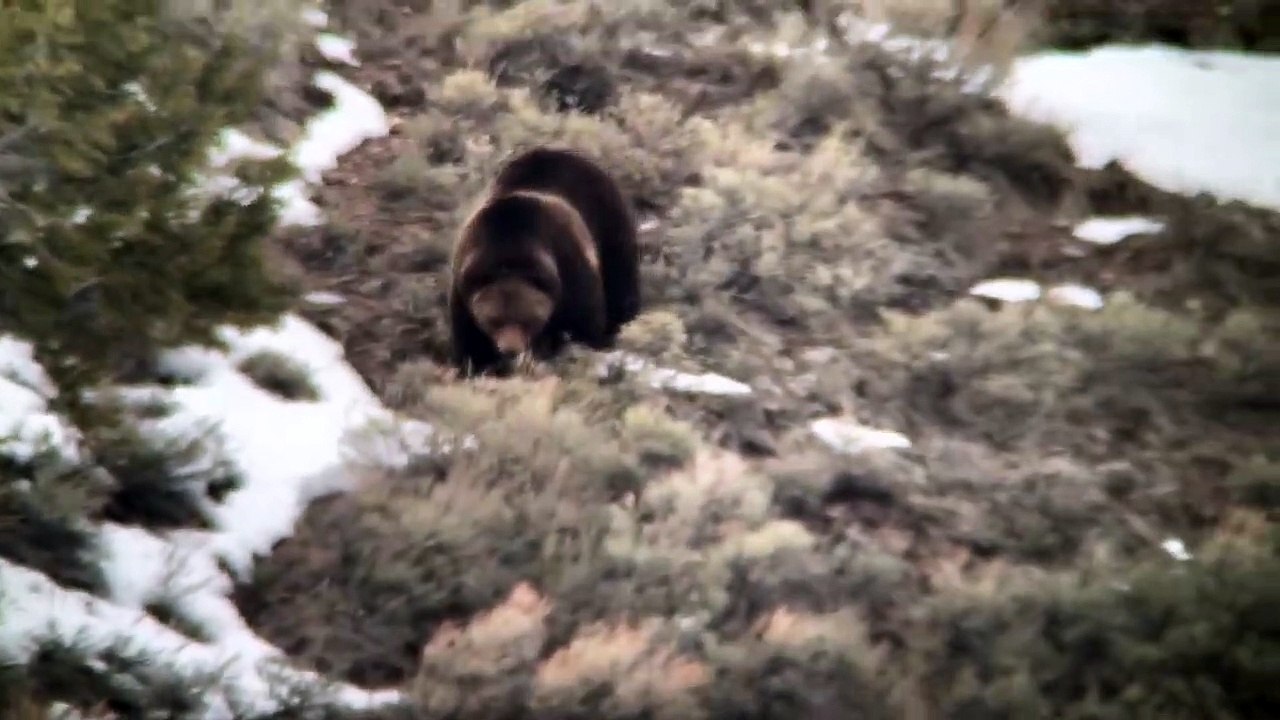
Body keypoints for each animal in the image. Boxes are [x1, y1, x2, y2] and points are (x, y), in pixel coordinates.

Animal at [447, 146, 641, 377]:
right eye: (494, 320)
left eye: (526, 320)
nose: (511, 349)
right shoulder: (466, 287)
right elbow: (470, 341)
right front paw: (478, 367)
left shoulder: (569, 268)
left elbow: (583, 323)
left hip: (608, 224)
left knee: (621, 281)